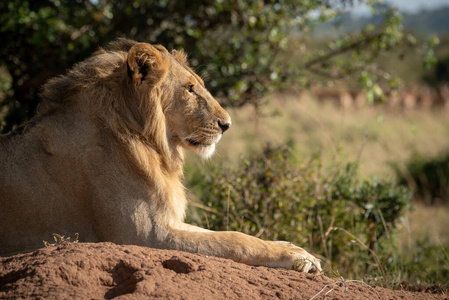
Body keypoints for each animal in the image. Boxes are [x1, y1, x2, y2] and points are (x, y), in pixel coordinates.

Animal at [0, 38, 322, 274]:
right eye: (190, 89)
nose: (227, 124)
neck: (151, 142)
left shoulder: (167, 220)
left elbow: (221, 232)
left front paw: (292, 246)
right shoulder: (143, 236)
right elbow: (233, 239)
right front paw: (297, 257)